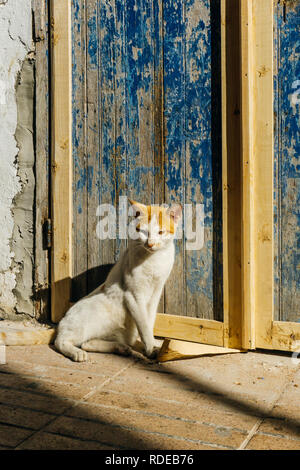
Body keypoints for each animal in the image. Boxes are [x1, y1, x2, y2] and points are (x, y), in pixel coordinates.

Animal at [54, 200, 182, 362]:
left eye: (160, 232)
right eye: (144, 232)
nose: (151, 244)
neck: (155, 259)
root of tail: (63, 319)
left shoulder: (156, 294)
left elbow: (149, 321)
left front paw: (153, 343)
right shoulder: (133, 296)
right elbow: (144, 326)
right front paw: (150, 349)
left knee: (87, 343)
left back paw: (121, 348)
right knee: (61, 341)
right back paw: (77, 353)